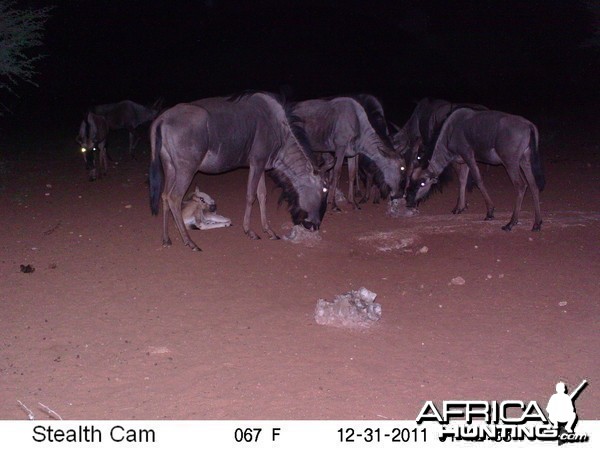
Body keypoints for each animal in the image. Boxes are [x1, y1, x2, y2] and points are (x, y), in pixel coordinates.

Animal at [406, 108, 548, 232]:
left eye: (422, 183)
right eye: (410, 182)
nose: (410, 202)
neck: (451, 130)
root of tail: (529, 125)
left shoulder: (468, 156)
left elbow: (478, 180)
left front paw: (490, 212)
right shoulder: (463, 161)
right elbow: (462, 181)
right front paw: (459, 208)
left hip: (510, 163)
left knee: (521, 186)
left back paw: (511, 223)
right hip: (525, 161)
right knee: (533, 186)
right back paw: (537, 223)